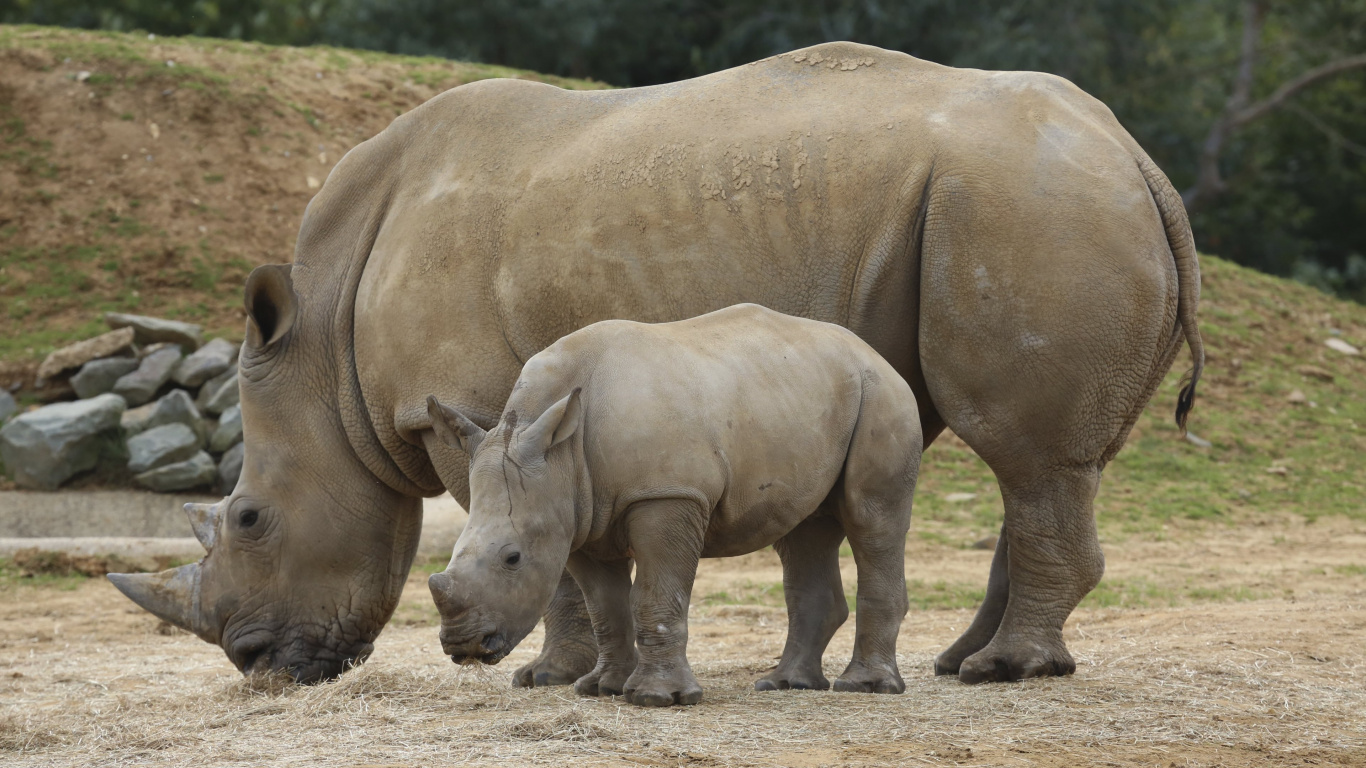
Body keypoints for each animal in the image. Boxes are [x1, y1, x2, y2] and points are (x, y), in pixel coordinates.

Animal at [426, 304, 923, 705]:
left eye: (512, 558)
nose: (462, 645)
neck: (559, 457)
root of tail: (871, 352)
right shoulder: (577, 517)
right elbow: (605, 607)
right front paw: (602, 688)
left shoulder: (667, 494)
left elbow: (655, 595)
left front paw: (656, 698)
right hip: (803, 399)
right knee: (803, 532)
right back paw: (785, 684)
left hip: (882, 395)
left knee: (871, 520)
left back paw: (867, 688)